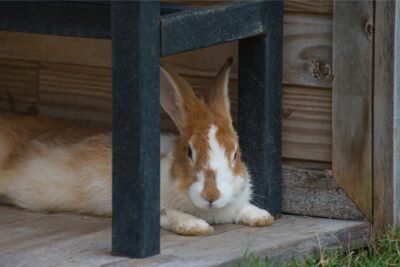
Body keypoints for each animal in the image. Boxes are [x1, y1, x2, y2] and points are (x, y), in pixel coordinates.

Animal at [0, 58, 274, 237]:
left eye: (236, 154)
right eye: (189, 152)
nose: (211, 196)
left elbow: (243, 209)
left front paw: (262, 217)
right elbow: (168, 214)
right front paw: (195, 227)